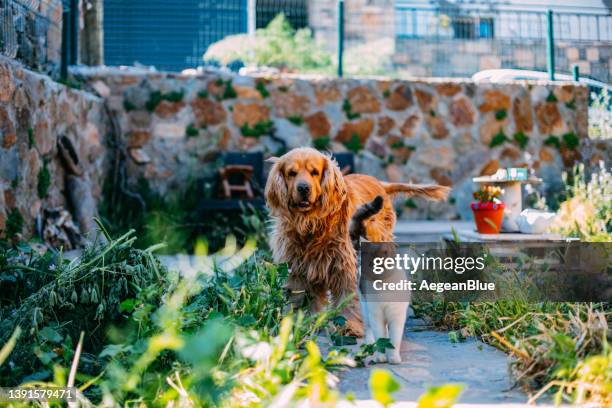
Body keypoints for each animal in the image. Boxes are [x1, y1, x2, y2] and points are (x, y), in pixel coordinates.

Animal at [264, 148, 450, 336]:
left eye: (314, 172)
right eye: (291, 173)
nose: (303, 188)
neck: (312, 223)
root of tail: (380, 183)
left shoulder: (345, 264)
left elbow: (348, 299)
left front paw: (348, 325)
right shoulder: (297, 267)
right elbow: (300, 299)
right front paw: (299, 324)